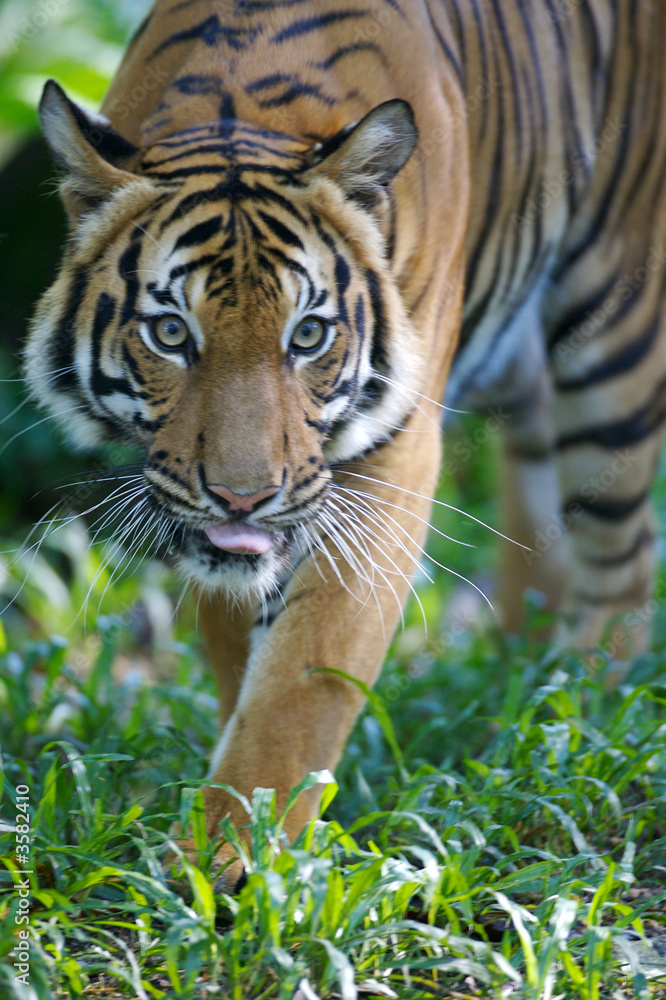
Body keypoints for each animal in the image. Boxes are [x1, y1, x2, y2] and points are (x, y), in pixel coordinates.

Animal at [25, 0, 666, 887]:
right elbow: (241, 650)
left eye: (308, 335)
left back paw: (580, 715)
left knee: (624, 555)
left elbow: (305, 675)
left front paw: (234, 857)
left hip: (612, 325)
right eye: (170, 333)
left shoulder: (388, 459)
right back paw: (521, 683)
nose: (243, 496)